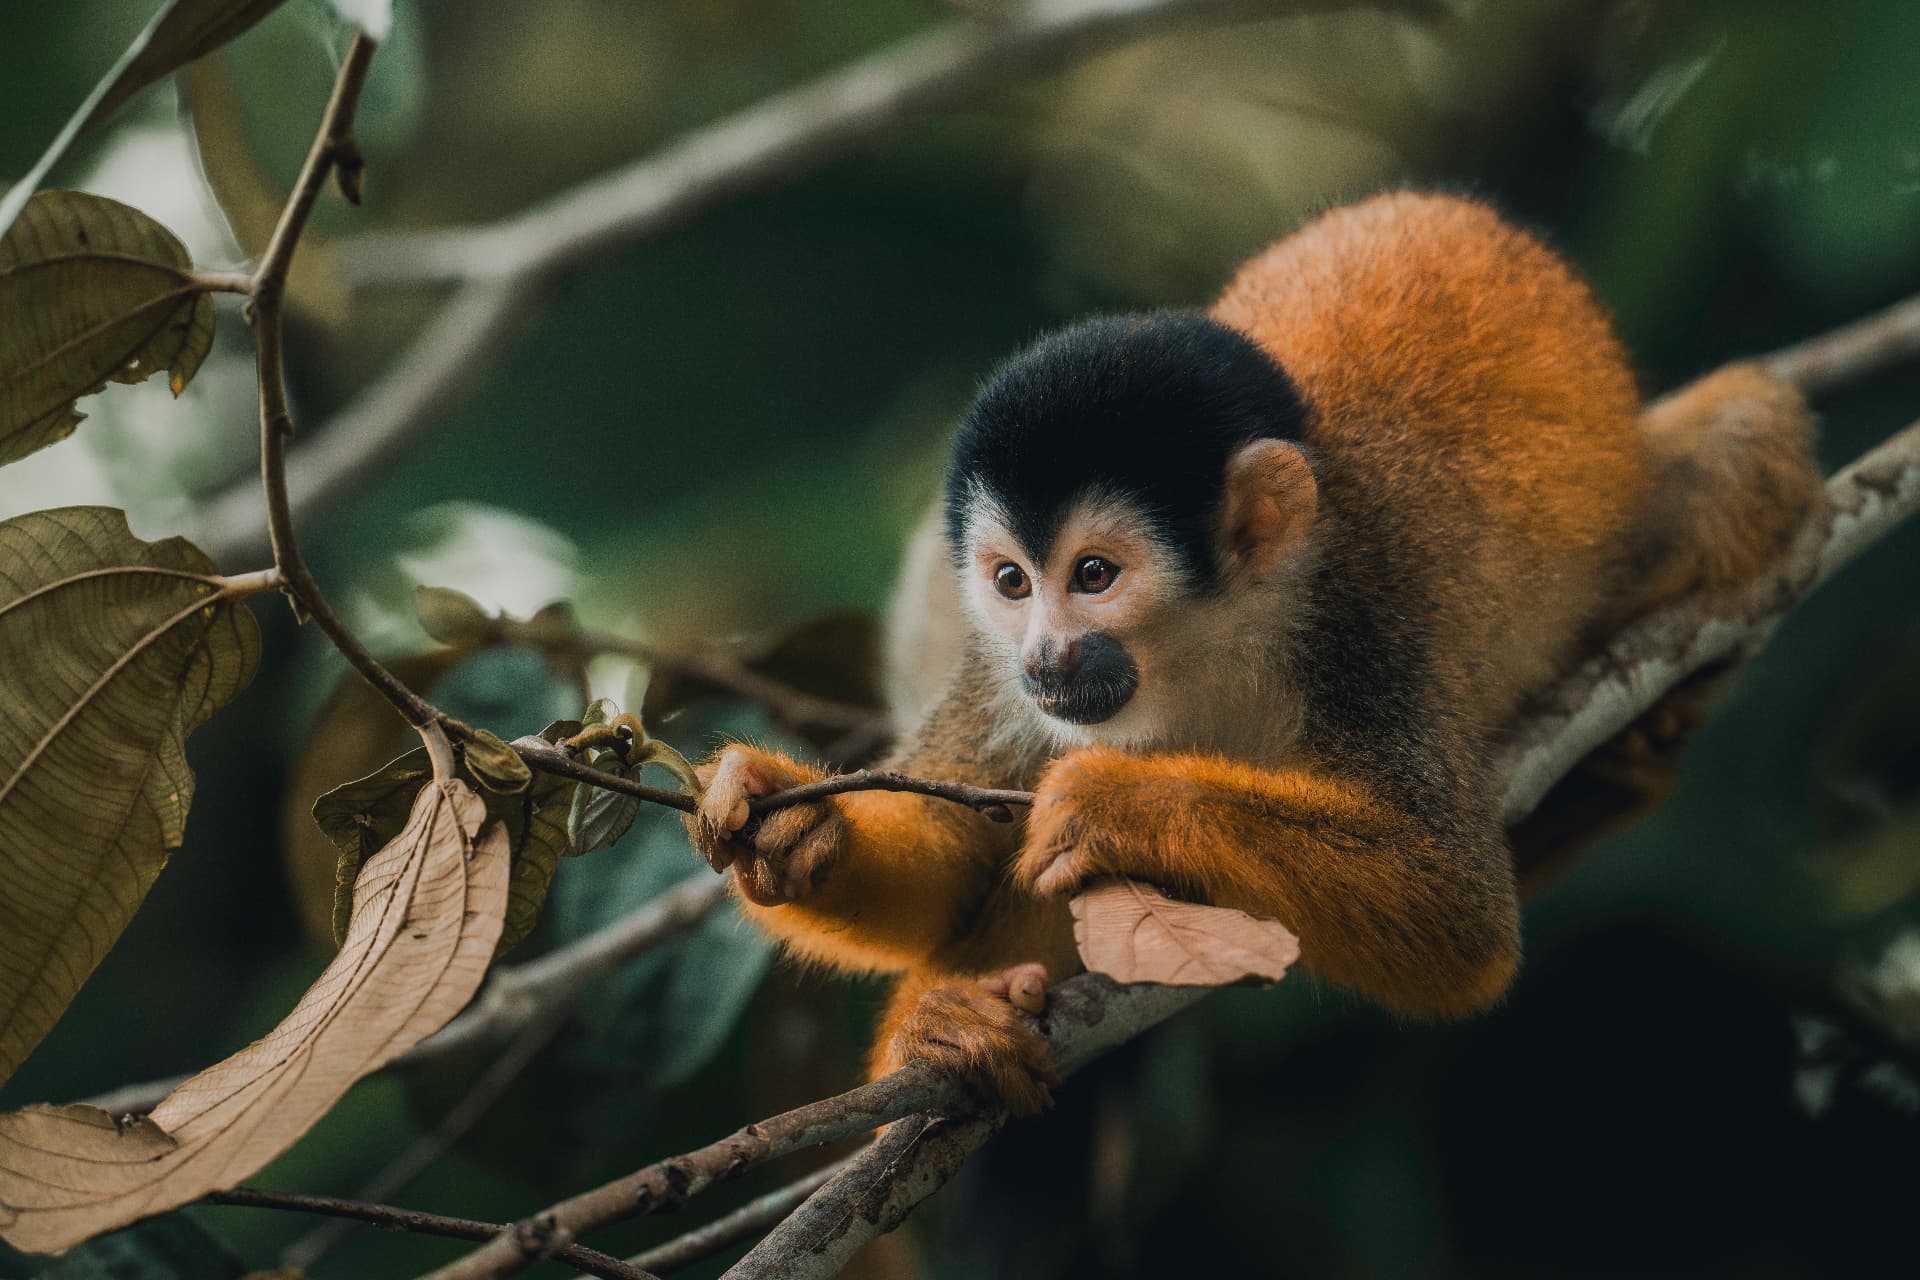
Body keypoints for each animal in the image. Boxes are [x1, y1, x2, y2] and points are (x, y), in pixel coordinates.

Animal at [686, 191, 1822, 1116]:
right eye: (1011, 581)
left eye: (1094, 573)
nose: (1049, 655)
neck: (1210, 644)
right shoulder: (998, 674)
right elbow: (955, 850)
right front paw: (795, 830)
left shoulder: (1371, 619)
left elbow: (1456, 915)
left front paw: (1121, 805)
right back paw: (948, 1022)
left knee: (1744, 433)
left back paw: (1632, 755)